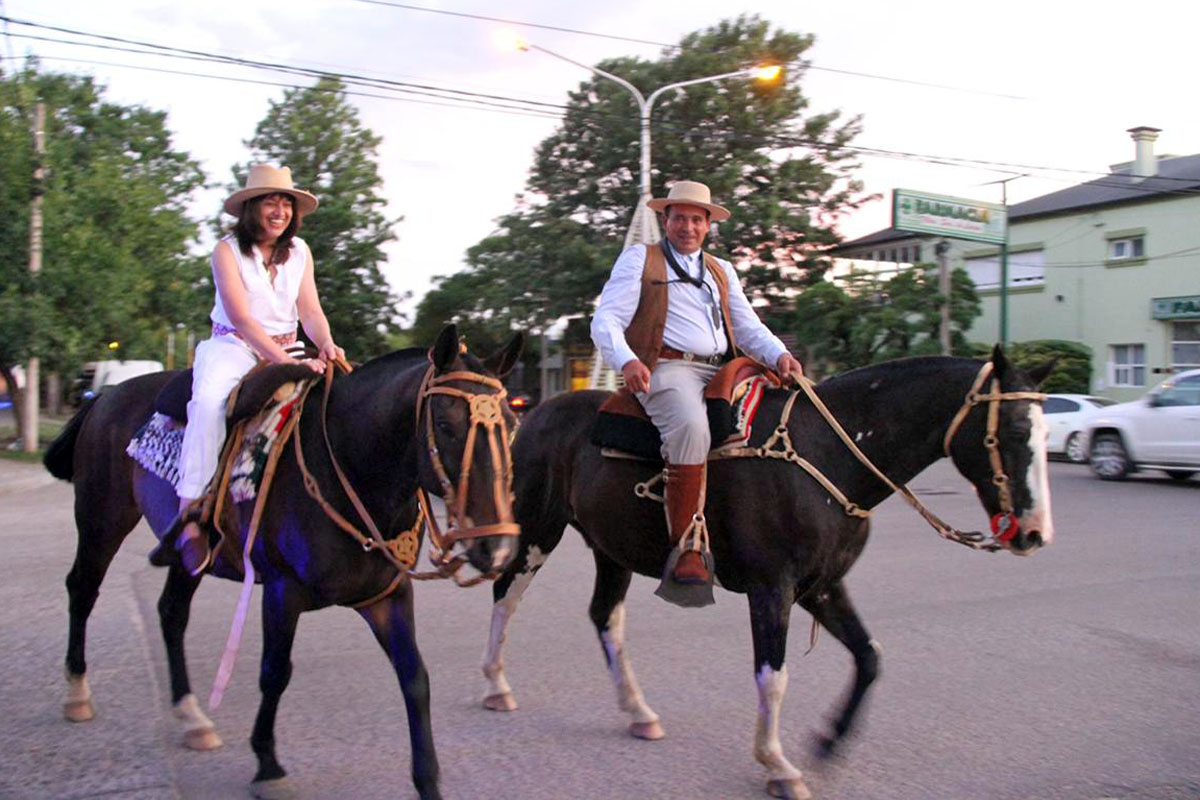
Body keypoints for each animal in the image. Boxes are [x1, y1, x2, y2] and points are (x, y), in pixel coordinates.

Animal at [44, 326, 523, 800]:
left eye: (512, 423)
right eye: (445, 425)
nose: (497, 547)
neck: (348, 465)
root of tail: (104, 397)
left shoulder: (387, 595)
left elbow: (415, 677)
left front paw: (427, 779)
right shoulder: (281, 591)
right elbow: (275, 672)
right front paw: (268, 764)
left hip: (187, 553)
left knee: (171, 613)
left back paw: (191, 716)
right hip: (101, 520)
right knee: (82, 589)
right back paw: (77, 694)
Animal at [475, 350, 1051, 800]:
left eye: (1045, 432)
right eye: (1017, 429)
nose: (1034, 533)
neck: (827, 456)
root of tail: (536, 413)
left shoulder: (821, 587)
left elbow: (869, 657)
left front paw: (829, 741)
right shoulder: (772, 588)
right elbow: (773, 677)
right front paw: (778, 765)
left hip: (611, 549)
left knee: (604, 617)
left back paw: (638, 712)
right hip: (537, 529)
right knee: (505, 596)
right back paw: (497, 684)